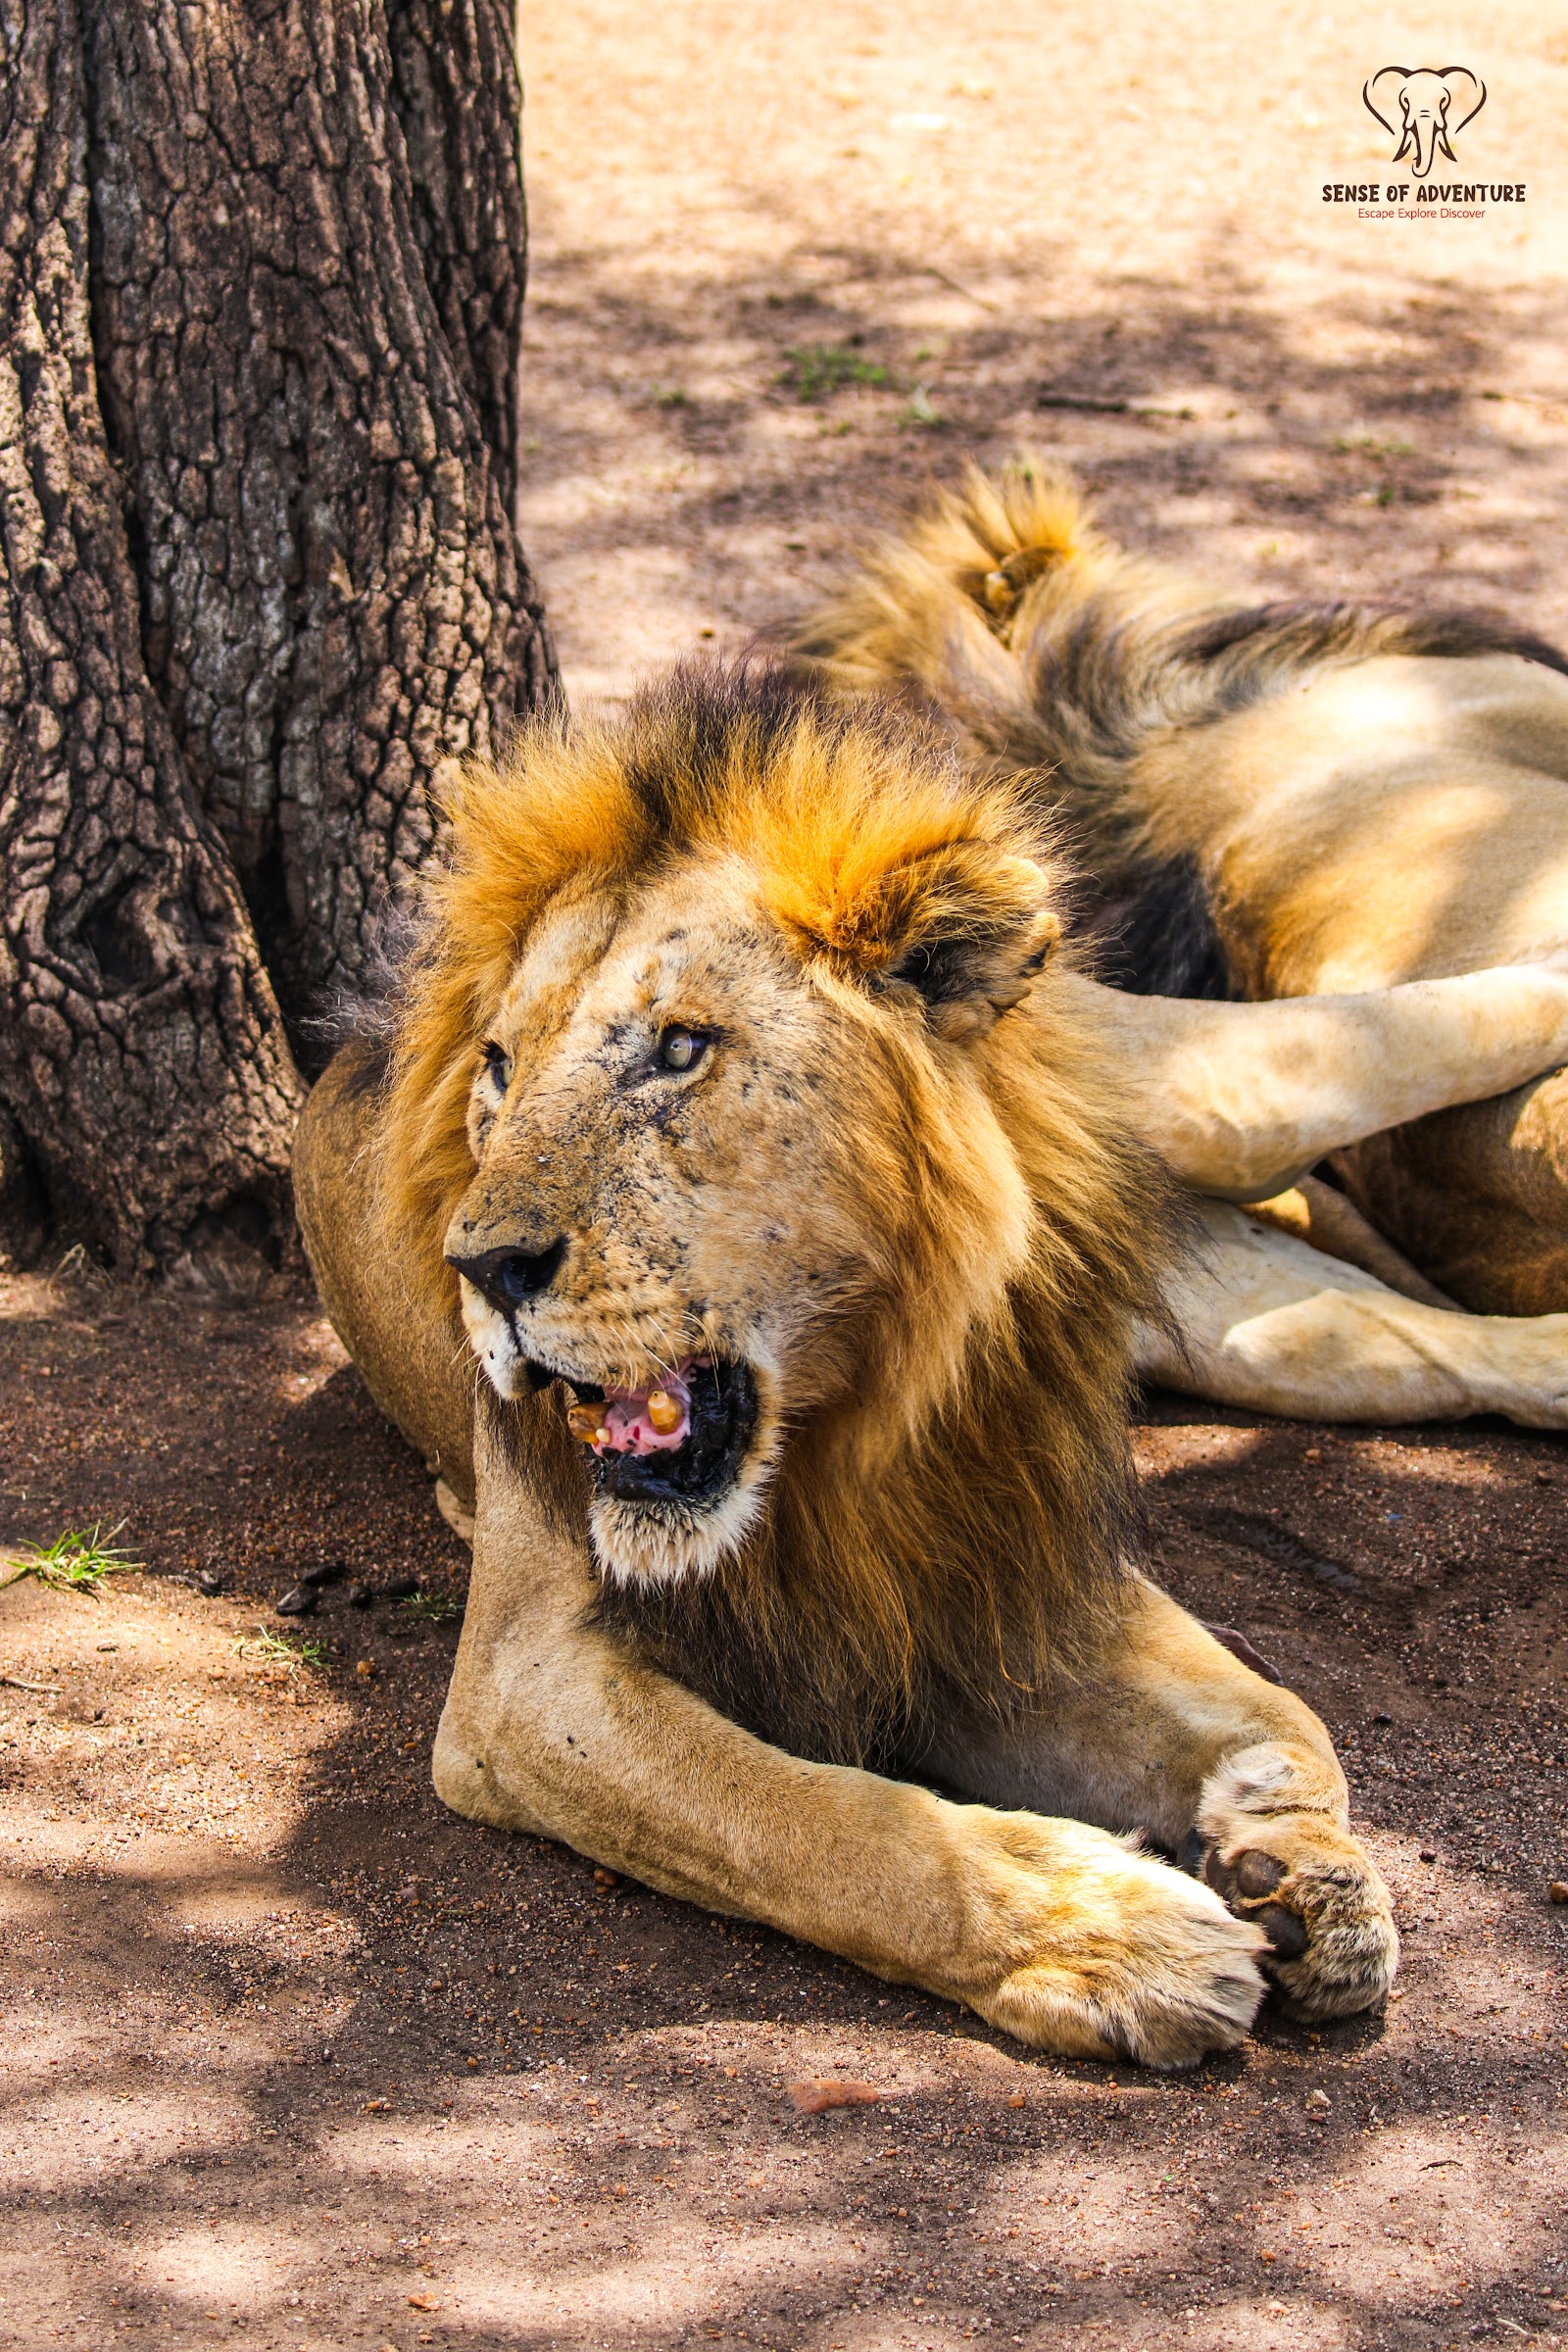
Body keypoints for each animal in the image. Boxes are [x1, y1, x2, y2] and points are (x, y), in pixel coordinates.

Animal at [296, 660, 1406, 2070]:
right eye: (495, 1067)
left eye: (679, 1047)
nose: (480, 1266)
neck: (849, 1416)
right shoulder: (520, 1687)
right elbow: (828, 1825)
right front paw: (1111, 1933)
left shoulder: (1008, 1564)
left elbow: (1282, 1715)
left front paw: (1302, 1870)